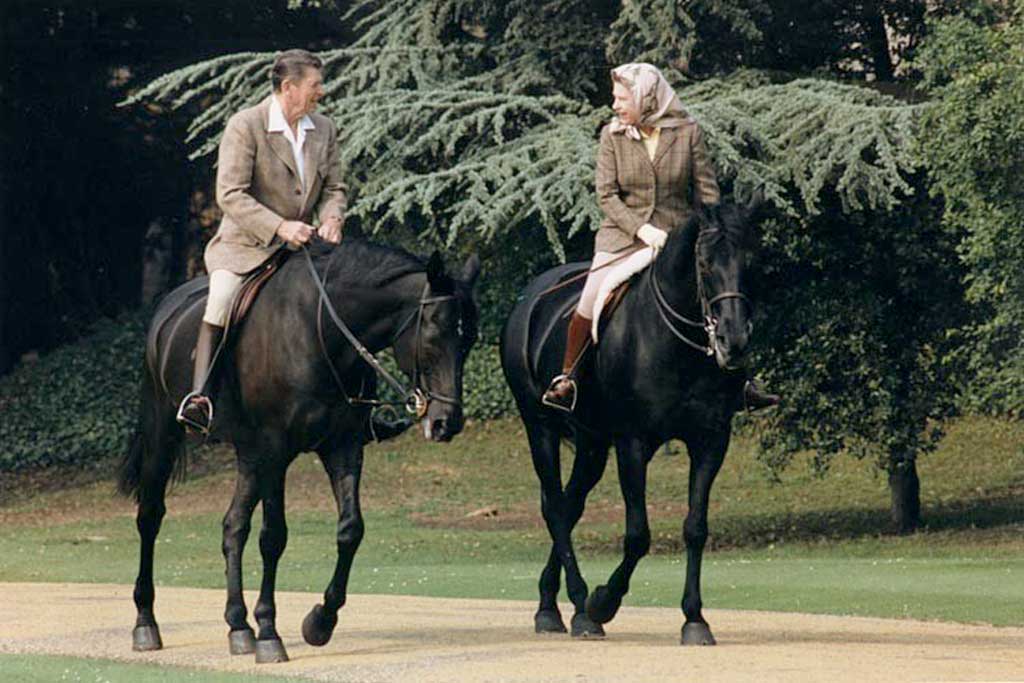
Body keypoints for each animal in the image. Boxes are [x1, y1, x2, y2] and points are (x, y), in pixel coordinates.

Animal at [118, 239, 480, 663]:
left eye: (469, 339)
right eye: (434, 335)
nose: (446, 423)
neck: (321, 331)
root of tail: (167, 306)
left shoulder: (342, 446)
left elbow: (350, 529)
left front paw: (320, 622)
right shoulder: (276, 450)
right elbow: (273, 536)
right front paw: (269, 633)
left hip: (249, 456)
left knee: (233, 527)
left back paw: (238, 626)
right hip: (166, 436)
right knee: (150, 517)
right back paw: (146, 623)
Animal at [500, 199, 758, 644]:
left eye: (750, 260)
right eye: (704, 263)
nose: (734, 341)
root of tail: (530, 296)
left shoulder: (711, 440)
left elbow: (696, 527)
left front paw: (695, 619)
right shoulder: (633, 443)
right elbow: (638, 535)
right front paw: (603, 602)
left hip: (591, 445)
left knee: (569, 506)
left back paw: (550, 605)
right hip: (541, 429)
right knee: (556, 509)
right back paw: (578, 607)